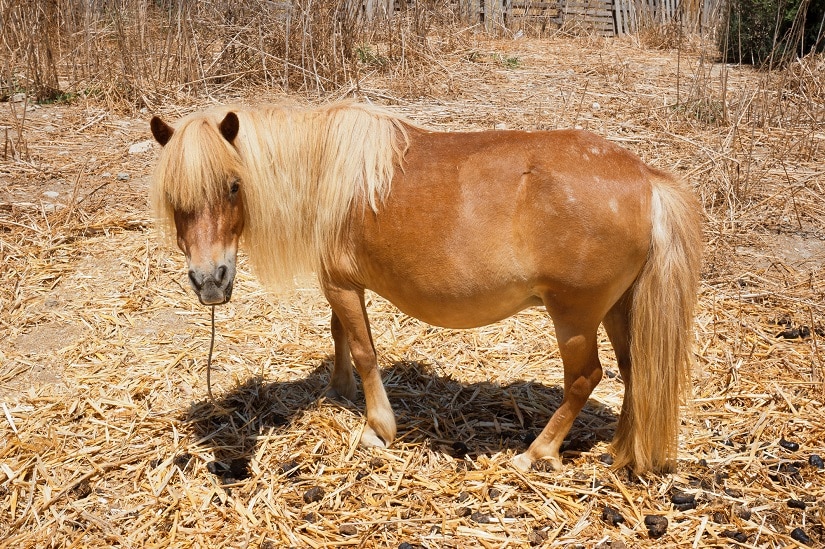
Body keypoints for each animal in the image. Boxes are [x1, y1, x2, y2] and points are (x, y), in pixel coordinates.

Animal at [150, 101, 700, 470]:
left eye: (233, 186)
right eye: (173, 197)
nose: (210, 281)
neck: (327, 172)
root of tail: (646, 180)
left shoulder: (341, 285)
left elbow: (365, 350)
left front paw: (377, 428)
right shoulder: (341, 285)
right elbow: (340, 335)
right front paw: (338, 391)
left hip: (575, 316)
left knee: (586, 378)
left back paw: (536, 453)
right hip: (618, 309)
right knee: (635, 371)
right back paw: (623, 449)